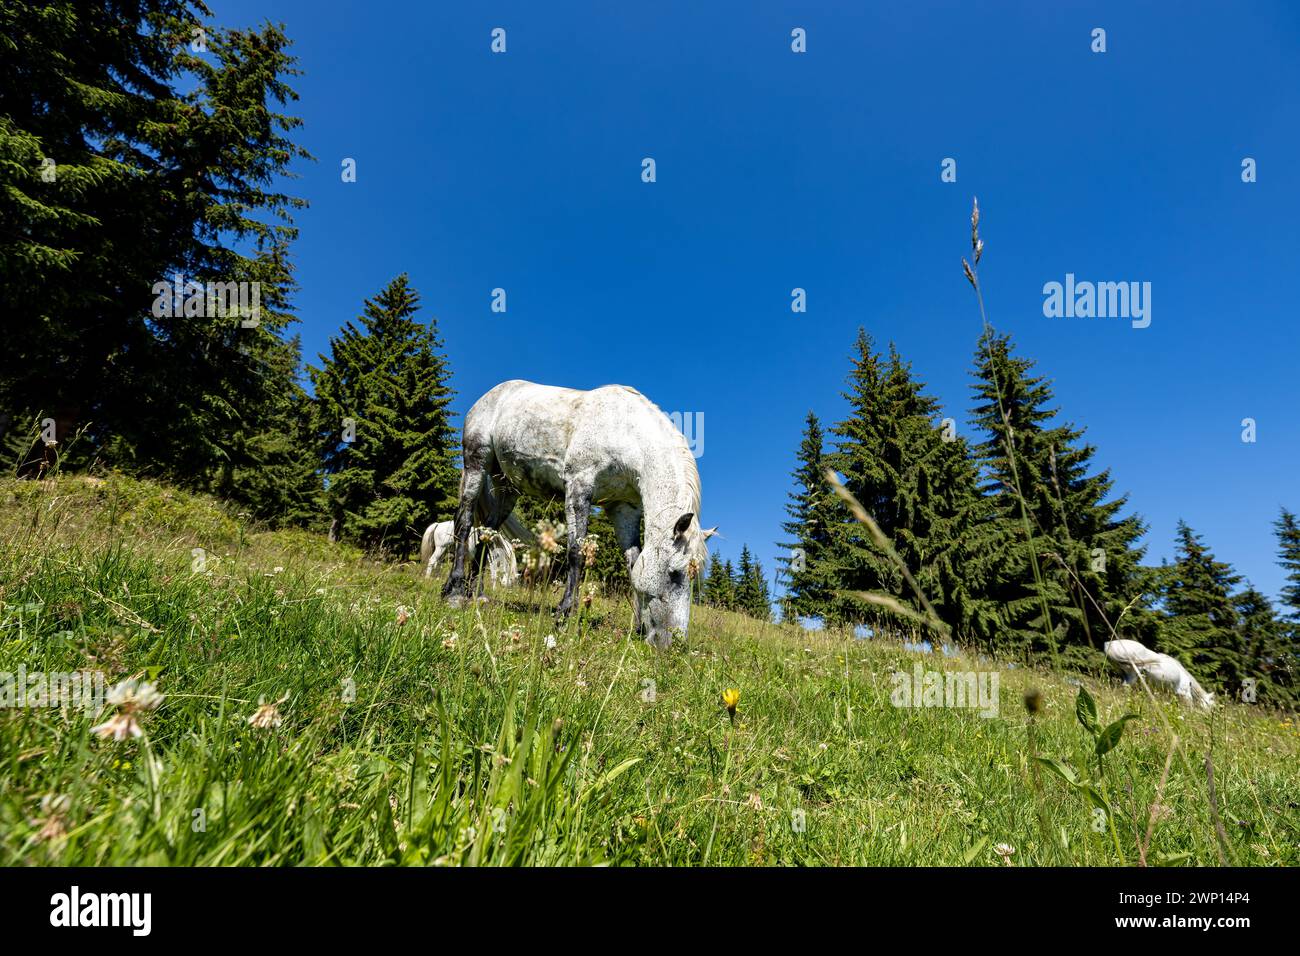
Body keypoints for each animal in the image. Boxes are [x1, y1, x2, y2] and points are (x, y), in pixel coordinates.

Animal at [442, 380, 715, 648]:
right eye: (674, 574)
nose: (676, 644)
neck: (626, 432)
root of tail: (492, 394)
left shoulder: (624, 509)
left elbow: (633, 562)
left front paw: (638, 626)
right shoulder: (578, 486)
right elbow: (576, 553)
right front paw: (564, 615)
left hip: (507, 488)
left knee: (487, 533)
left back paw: (475, 593)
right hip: (476, 463)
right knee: (464, 522)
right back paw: (454, 591)